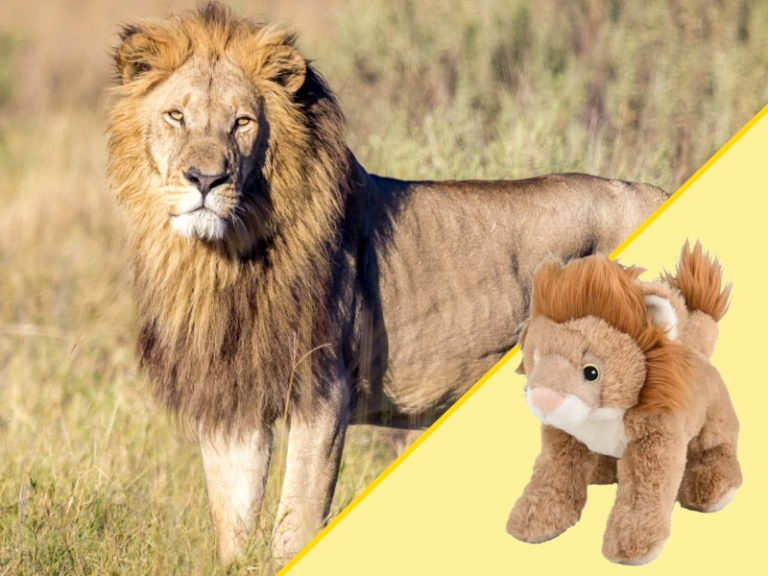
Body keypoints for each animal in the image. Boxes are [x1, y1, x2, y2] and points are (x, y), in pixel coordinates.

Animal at [107, 2, 667, 566]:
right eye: (176, 116)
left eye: (241, 122)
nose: (205, 180)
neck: (222, 260)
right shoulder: (233, 403)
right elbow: (233, 530)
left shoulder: (323, 392)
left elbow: (294, 528)